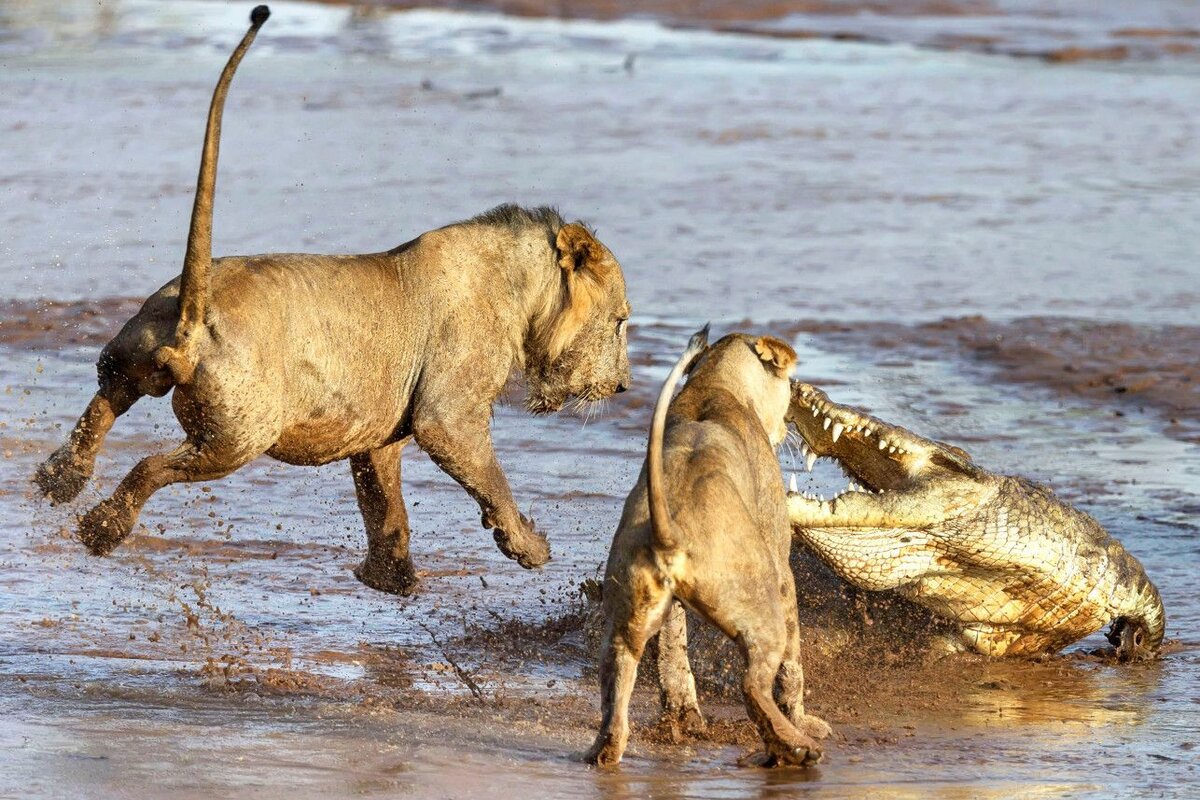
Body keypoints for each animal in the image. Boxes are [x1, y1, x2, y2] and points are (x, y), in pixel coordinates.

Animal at [32, 6, 633, 594]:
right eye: (622, 322)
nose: (625, 385)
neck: (520, 291)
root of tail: (193, 318)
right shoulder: (448, 412)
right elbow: (487, 476)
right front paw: (528, 547)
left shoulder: (378, 428)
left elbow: (384, 504)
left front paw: (391, 578)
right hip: (238, 436)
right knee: (151, 466)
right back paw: (101, 528)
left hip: (131, 355)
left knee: (102, 403)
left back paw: (58, 481)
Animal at [585, 326, 830, 767]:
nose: (790, 425)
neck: (715, 382)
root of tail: (669, 535)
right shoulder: (782, 563)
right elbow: (793, 667)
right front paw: (804, 720)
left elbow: (673, 649)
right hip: (761, 605)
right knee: (753, 684)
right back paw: (796, 745)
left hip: (624, 619)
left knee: (618, 686)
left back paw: (605, 751)